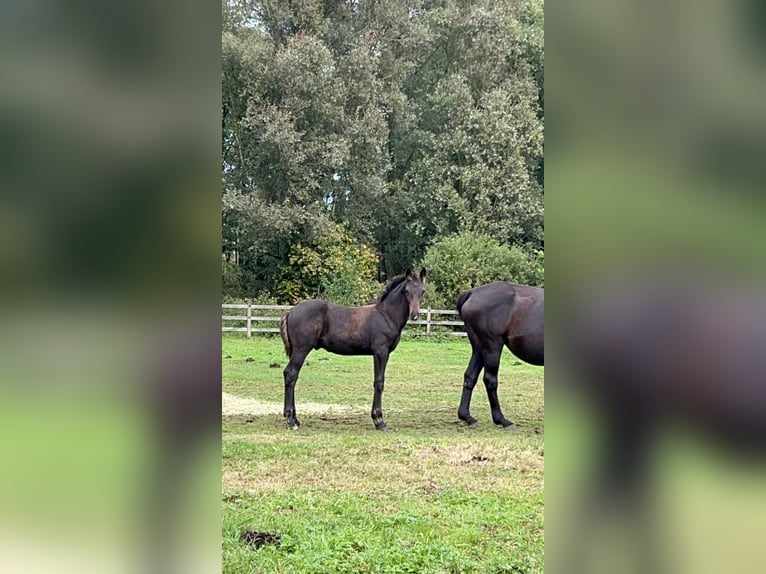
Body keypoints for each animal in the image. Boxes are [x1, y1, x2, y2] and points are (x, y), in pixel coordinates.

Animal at [280, 270, 428, 432]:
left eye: (423, 291)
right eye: (406, 291)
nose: (414, 315)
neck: (386, 315)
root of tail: (291, 311)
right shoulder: (380, 352)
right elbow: (379, 382)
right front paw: (379, 420)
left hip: (295, 351)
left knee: (292, 376)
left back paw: (295, 418)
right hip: (301, 349)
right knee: (291, 374)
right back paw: (291, 421)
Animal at [456, 282, 544, 430]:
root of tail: (473, 293)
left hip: (479, 349)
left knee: (470, 377)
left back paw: (467, 417)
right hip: (492, 347)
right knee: (490, 380)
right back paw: (501, 420)